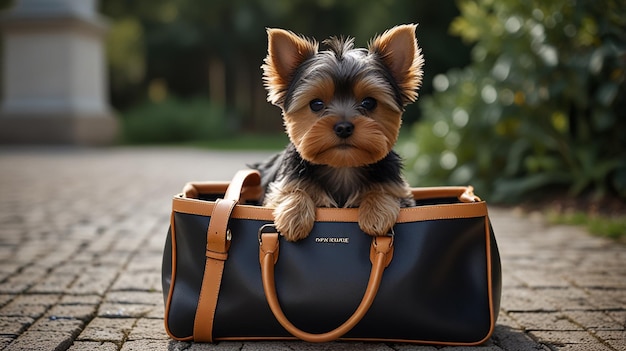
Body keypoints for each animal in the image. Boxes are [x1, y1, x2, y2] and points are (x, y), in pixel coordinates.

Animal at [251, 24, 422, 242]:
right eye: (316, 104)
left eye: (369, 102)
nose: (343, 127)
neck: (343, 167)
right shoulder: (279, 188)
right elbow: (290, 192)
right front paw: (294, 214)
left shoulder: (399, 191)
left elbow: (386, 192)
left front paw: (376, 213)